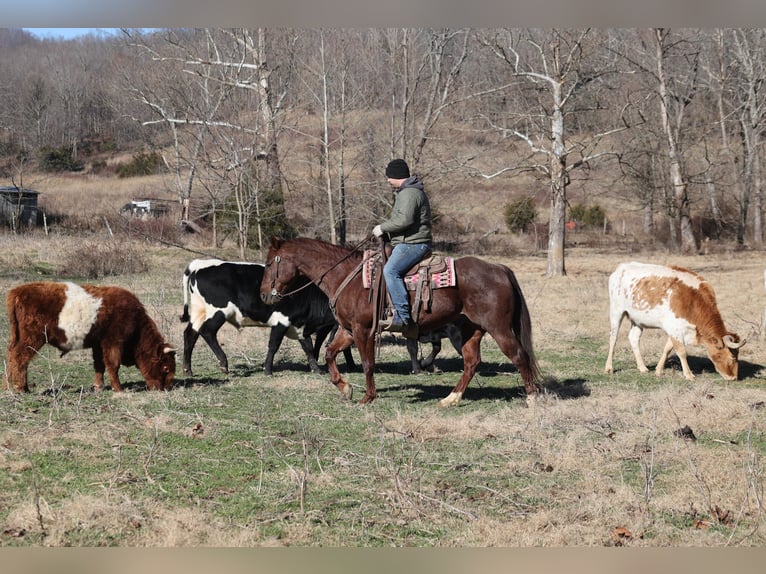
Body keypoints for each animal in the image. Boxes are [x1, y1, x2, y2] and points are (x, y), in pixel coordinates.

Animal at [260, 236, 541, 407]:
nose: (263, 295)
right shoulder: (348, 330)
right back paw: (451, 398)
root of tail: (499, 268)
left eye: (269, 263)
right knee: (472, 362)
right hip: (470, 330)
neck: (347, 277)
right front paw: (345, 387)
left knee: (519, 355)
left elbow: (368, 364)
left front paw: (367, 397)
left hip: (499, 328)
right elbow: (330, 354)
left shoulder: (363, 330)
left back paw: (531, 398)